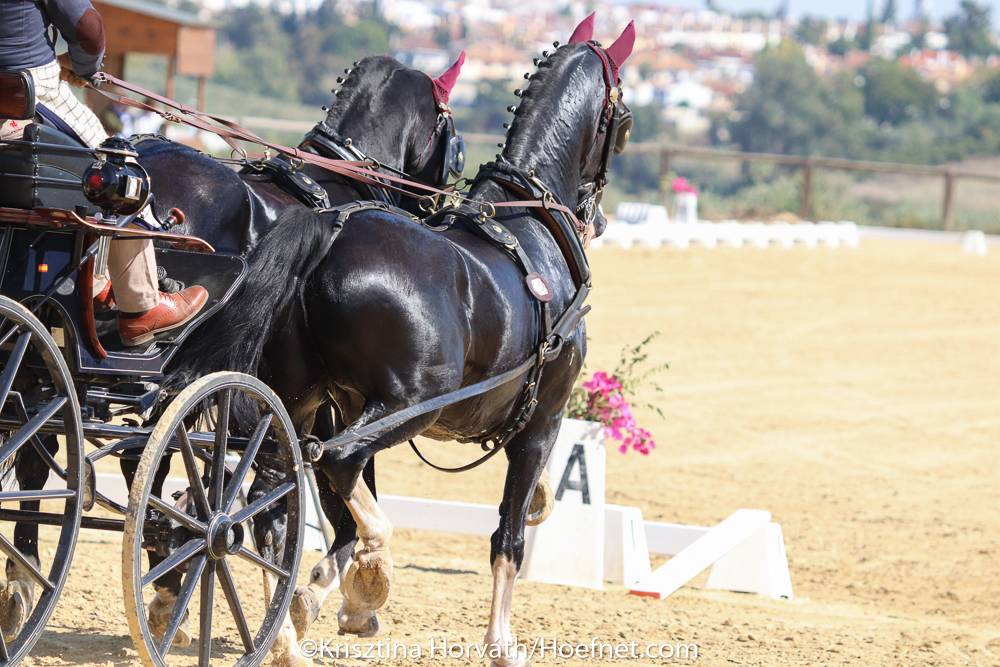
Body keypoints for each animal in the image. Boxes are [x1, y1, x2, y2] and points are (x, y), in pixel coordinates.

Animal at [0, 53, 467, 656]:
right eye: (448, 134)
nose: (441, 209)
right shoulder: (321, 396)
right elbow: (318, 483)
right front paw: (340, 595)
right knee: (107, 452)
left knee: (47, 447)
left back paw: (30, 582)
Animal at [168, 14, 635, 666]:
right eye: (625, 121)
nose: (600, 216)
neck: (531, 228)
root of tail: (327, 233)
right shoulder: (543, 420)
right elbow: (508, 535)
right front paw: (498, 643)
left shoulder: (336, 406)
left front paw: (314, 599)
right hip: (404, 405)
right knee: (332, 468)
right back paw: (370, 573)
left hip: (296, 399)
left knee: (269, 499)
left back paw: (279, 634)